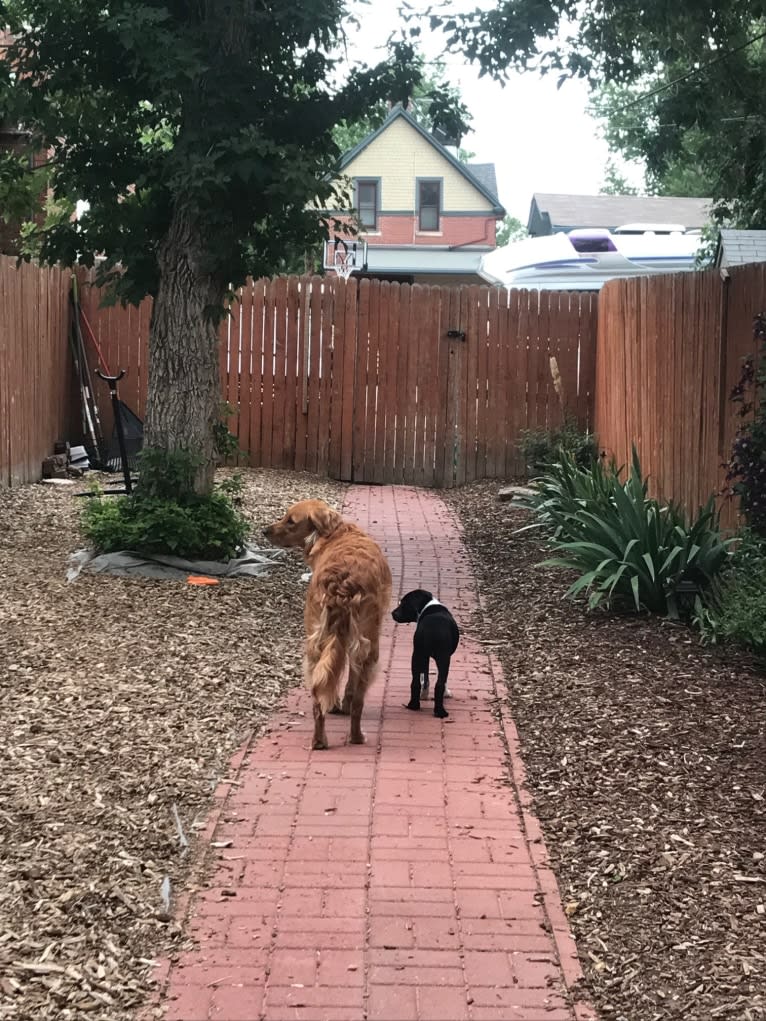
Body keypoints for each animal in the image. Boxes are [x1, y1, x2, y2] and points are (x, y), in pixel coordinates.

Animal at [392, 588, 459, 722]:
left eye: (404, 603)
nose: (392, 613)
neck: (427, 605)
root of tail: (431, 629)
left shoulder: (425, 656)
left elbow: (425, 677)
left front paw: (424, 694)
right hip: (441, 657)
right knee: (438, 684)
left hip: (417, 654)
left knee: (416, 682)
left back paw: (417, 706)